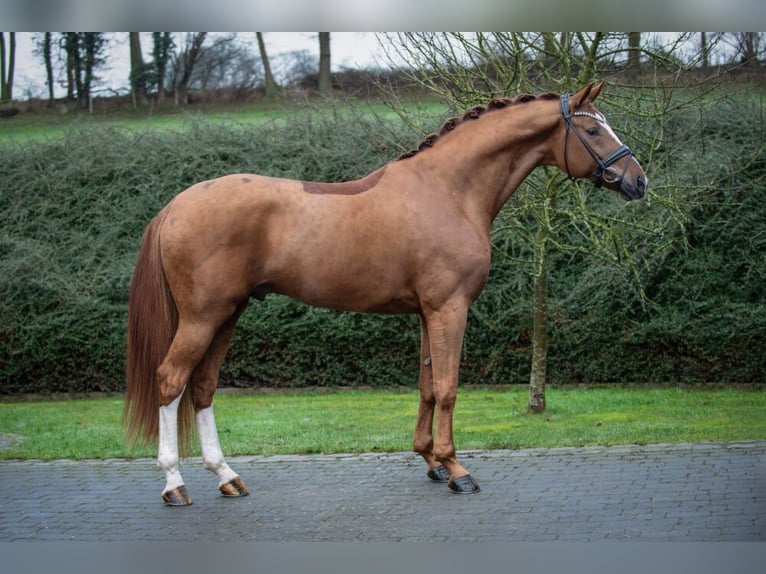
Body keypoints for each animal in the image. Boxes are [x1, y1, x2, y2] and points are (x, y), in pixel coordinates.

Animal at [124, 83, 647, 505]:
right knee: (171, 380)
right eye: (593, 130)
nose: (638, 181)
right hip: (203, 316)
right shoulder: (449, 308)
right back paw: (175, 484)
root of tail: (176, 205)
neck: (448, 190)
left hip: (227, 315)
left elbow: (427, 385)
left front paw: (431, 462)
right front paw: (457, 469)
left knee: (203, 386)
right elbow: (448, 387)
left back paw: (227, 477)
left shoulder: (425, 312)